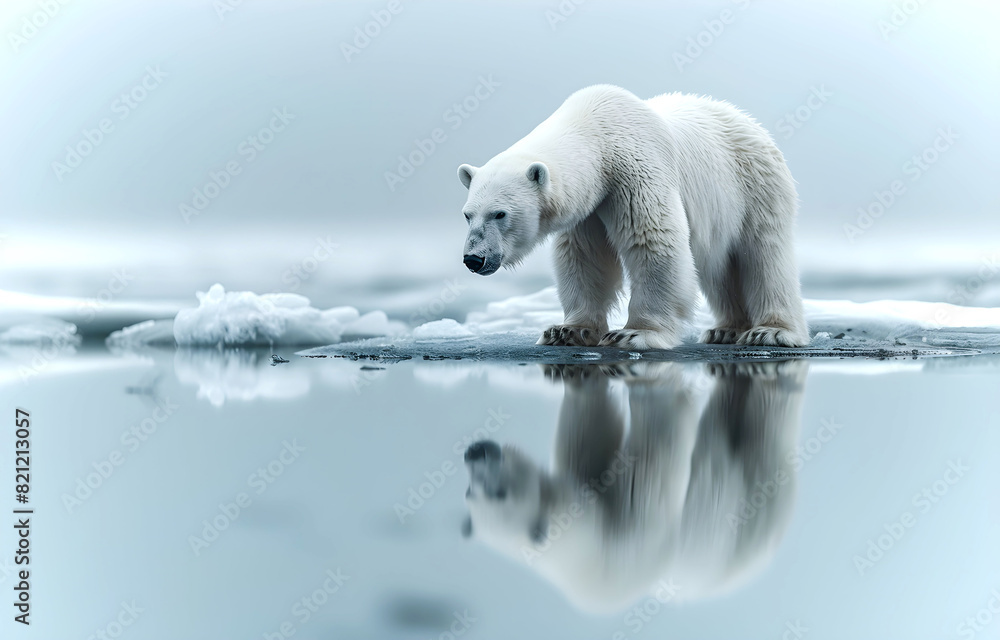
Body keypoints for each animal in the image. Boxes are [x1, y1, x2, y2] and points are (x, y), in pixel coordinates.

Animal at [457, 84, 809, 350]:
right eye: (467, 215)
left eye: (500, 213)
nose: (473, 259)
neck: (596, 132)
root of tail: (750, 123)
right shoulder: (590, 207)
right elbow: (584, 258)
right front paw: (566, 331)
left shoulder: (634, 172)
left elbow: (653, 243)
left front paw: (634, 333)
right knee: (719, 267)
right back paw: (725, 330)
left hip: (754, 186)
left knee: (763, 255)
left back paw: (770, 331)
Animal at [461, 360, 807, 612]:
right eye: (474, 492)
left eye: (494, 492)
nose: (475, 451)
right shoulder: (633, 538)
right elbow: (653, 460)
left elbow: (591, 432)